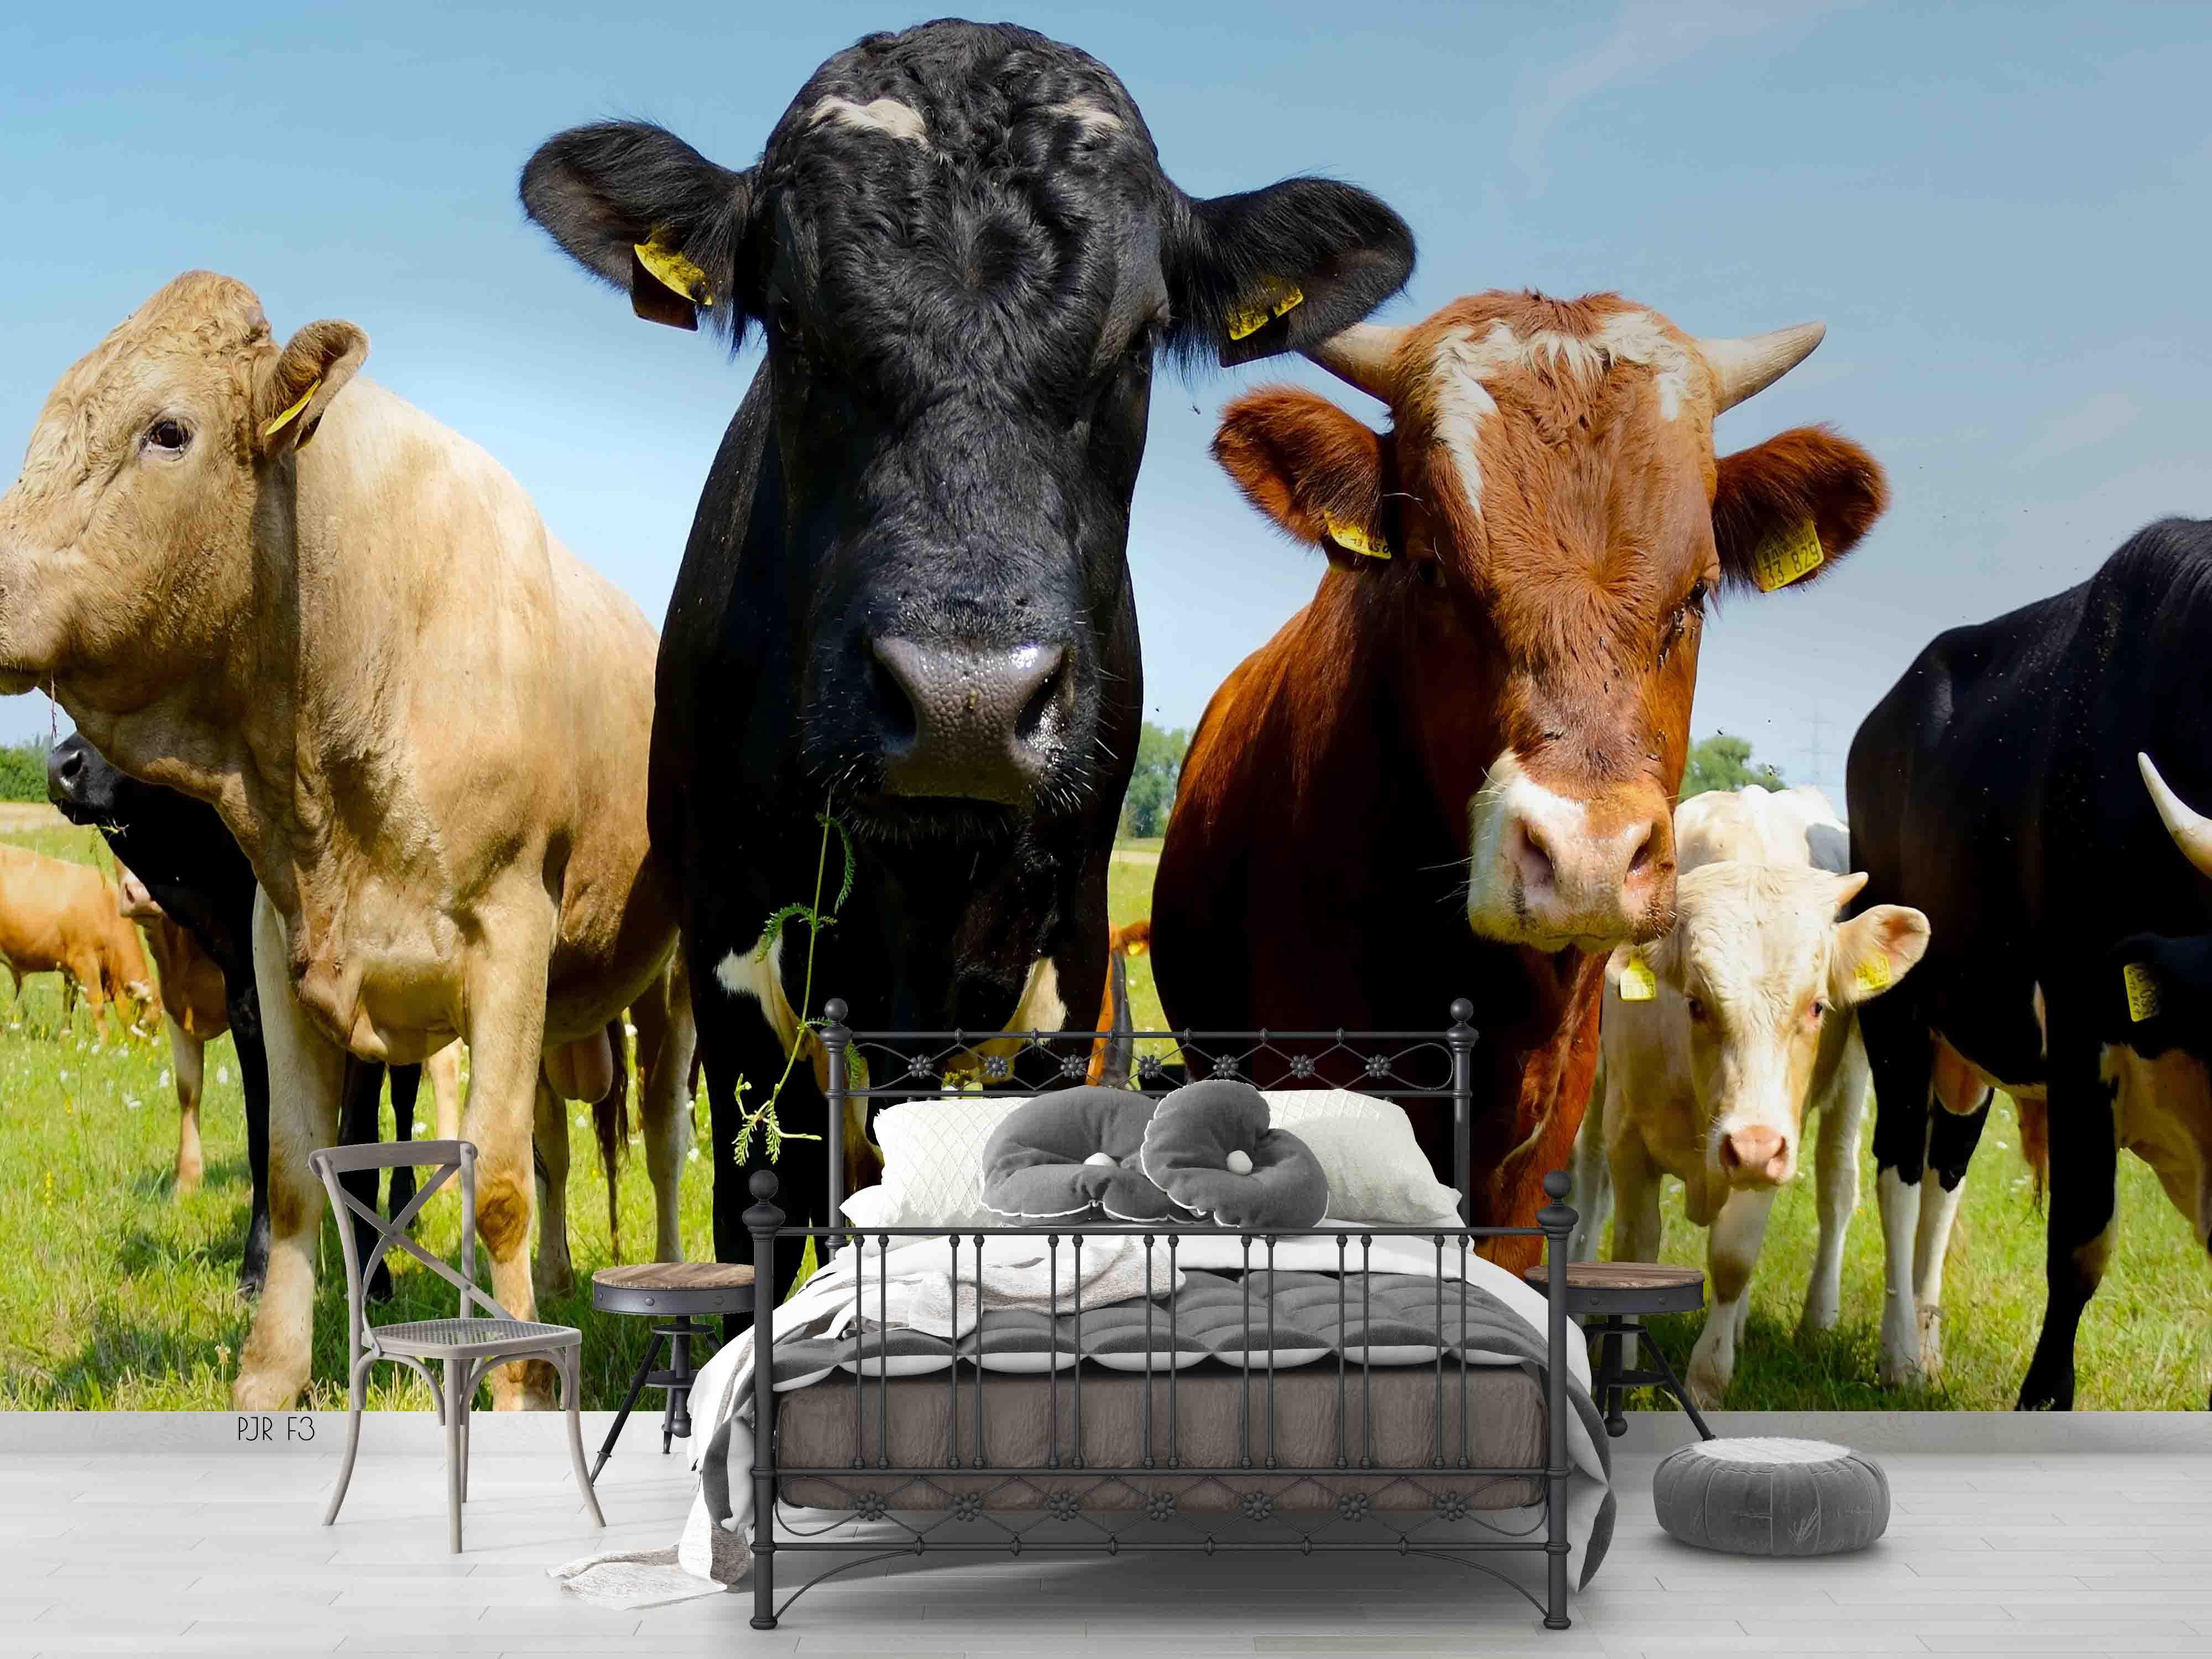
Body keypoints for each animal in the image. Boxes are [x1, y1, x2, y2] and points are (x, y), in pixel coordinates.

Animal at [0, 842, 154, 1036]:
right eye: (148, 1024)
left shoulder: (71, 971)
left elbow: (68, 1006)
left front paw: (65, 1037)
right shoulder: (85, 962)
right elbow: (97, 1007)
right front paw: (105, 1041)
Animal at [517, 18, 1415, 1298]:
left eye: (1138, 340)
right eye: (791, 327)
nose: (964, 703)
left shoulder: (1066, 971)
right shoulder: (735, 979)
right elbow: (769, 1219)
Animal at [1568, 785, 1929, 1404]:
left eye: (1817, 1006)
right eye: (1695, 1002)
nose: (1751, 1147)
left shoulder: (1772, 1143)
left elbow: (1733, 1258)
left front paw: (1708, 1378)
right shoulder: (1628, 1135)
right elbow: (1635, 1245)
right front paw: (1620, 1358)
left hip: (1852, 1080)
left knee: (1837, 1187)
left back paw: (1810, 1320)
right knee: (1587, 1179)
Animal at [1847, 519, 2212, 1409]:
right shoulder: (2082, 1022)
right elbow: (2081, 1246)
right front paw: (2045, 1398)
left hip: (1973, 1041)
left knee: (1945, 1173)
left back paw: (1929, 1348)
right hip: (1898, 1008)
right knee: (1899, 1165)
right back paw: (1899, 1351)